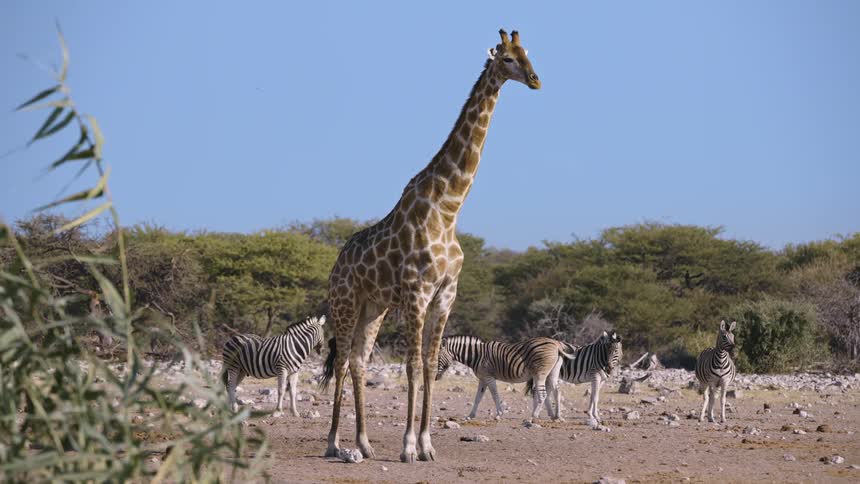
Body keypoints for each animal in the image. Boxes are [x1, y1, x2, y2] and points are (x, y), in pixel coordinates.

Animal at [321, 29, 541, 463]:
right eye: (507, 59)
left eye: (528, 53)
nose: (536, 79)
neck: (449, 207)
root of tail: (337, 264)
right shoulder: (417, 293)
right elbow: (411, 366)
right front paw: (408, 446)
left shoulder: (445, 294)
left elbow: (428, 363)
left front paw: (426, 445)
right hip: (345, 302)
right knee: (340, 363)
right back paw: (335, 443)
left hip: (374, 307)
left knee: (358, 361)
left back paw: (364, 443)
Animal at [436, 335, 575, 422]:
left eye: (437, 358)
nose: (436, 378)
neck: (477, 355)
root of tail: (556, 344)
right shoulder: (482, 378)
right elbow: (478, 398)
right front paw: (469, 416)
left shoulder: (488, 377)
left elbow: (494, 395)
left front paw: (499, 414)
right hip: (553, 372)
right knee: (557, 391)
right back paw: (557, 416)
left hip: (540, 373)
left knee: (543, 393)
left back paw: (533, 417)